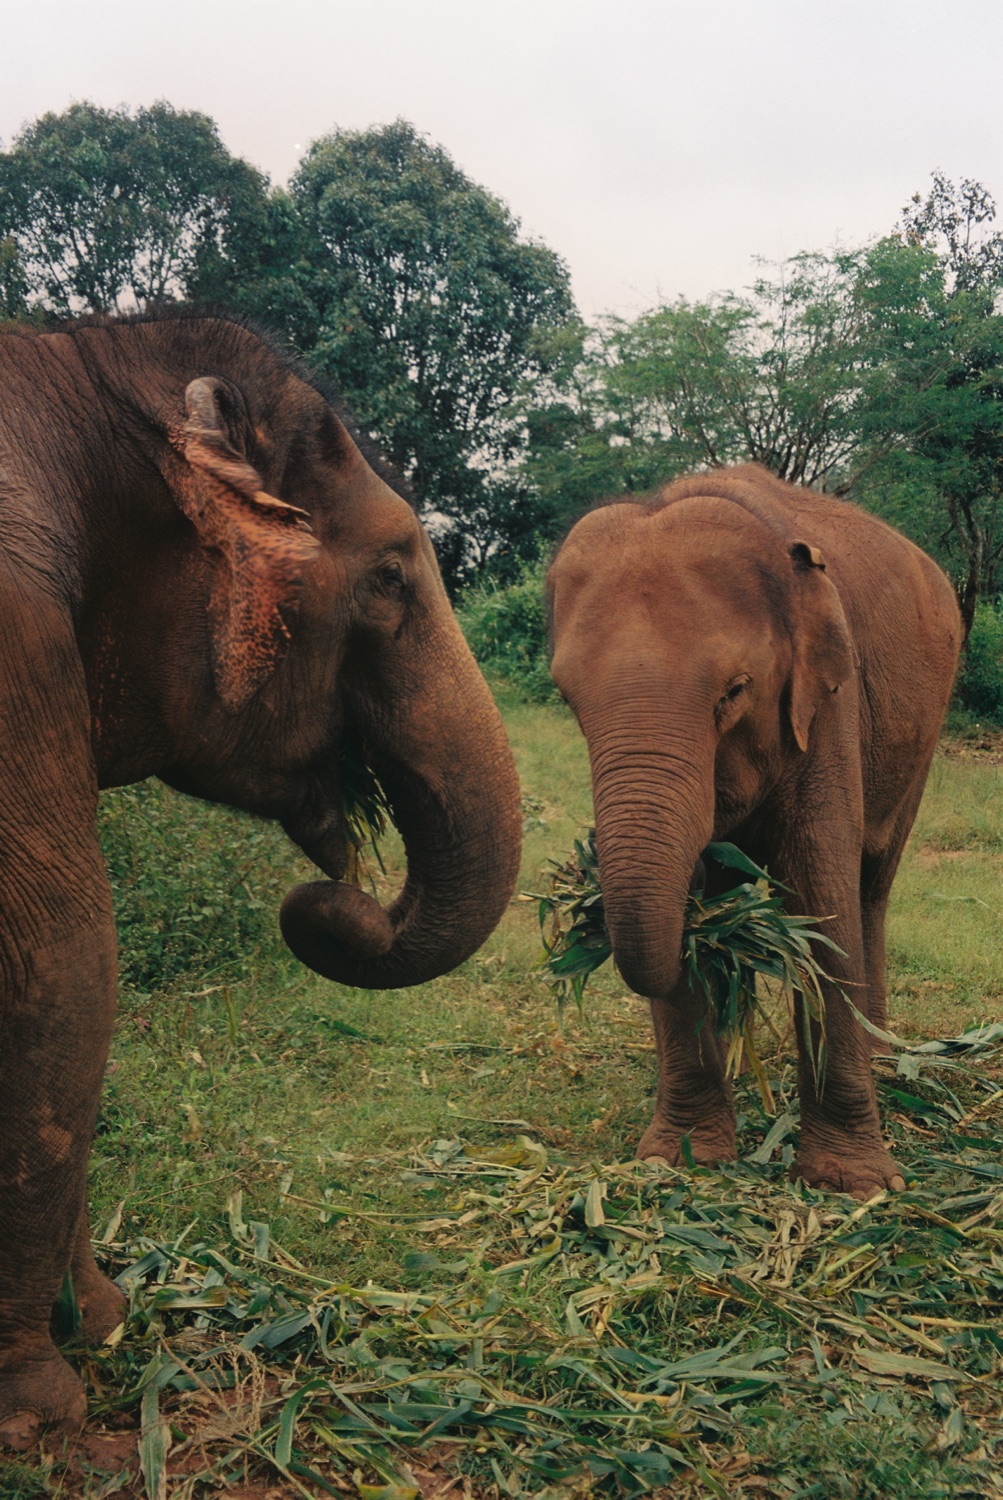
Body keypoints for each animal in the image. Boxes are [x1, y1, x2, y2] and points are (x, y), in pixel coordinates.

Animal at [0, 311, 522, 1446]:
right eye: (387, 577)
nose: (335, 906)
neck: (80, 368)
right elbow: (64, 962)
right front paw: (44, 1417)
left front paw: (104, 1320)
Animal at [547, 463, 960, 1200]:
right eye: (567, 698)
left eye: (734, 690)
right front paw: (676, 1161)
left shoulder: (827, 704)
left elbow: (820, 897)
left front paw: (851, 1185)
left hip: (923, 732)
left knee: (871, 885)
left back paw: (883, 1061)